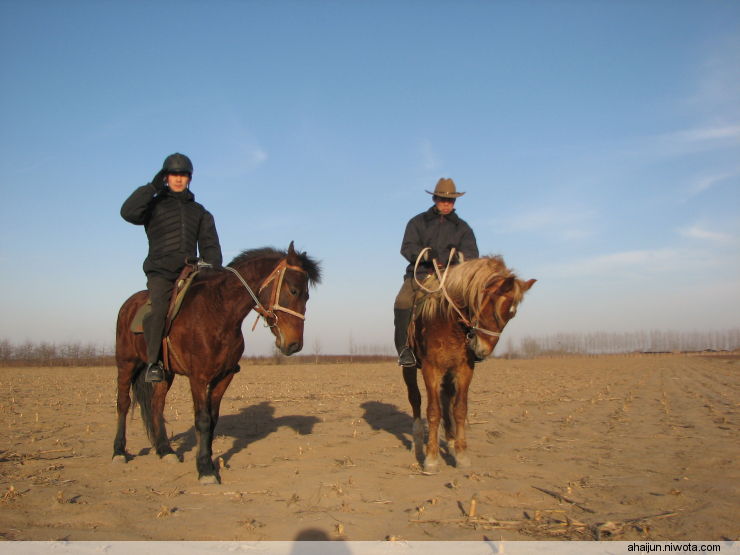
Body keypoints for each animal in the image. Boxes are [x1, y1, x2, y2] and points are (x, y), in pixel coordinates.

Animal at [111, 243, 320, 482]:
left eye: (307, 295)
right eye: (293, 290)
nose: (294, 345)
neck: (218, 313)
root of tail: (128, 305)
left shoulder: (224, 376)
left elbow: (212, 419)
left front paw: (210, 461)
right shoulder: (198, 378)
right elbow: (202, 419)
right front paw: (205, 469)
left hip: (166, 373)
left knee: (156, 405)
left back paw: (165, 451)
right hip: (126, 364)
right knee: (123, 403)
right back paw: (119, 451)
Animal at [402, 256, 536, 474]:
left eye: (511, 315)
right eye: (493, 308)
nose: (482, 350)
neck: (448, 322)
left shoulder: (464, 369)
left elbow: (459, 409)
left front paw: (461, 454)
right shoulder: (431, 369)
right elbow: (433, 411)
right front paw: (431, 458)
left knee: (446, 399)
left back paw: (449, 441)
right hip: (410, 368)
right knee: (415, 399)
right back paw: (417, 442)